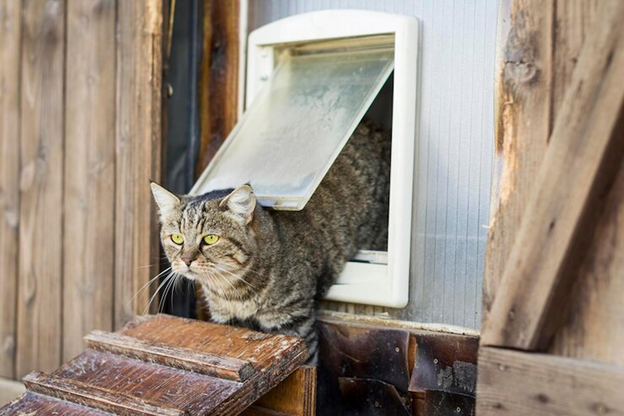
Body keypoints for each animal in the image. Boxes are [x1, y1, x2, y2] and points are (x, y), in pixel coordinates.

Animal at [151, 118, 390, 362]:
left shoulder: (293, 321)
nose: (187, 260)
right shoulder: (226, 320)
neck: (232, 292)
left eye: (210, 238)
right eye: (177, 238)